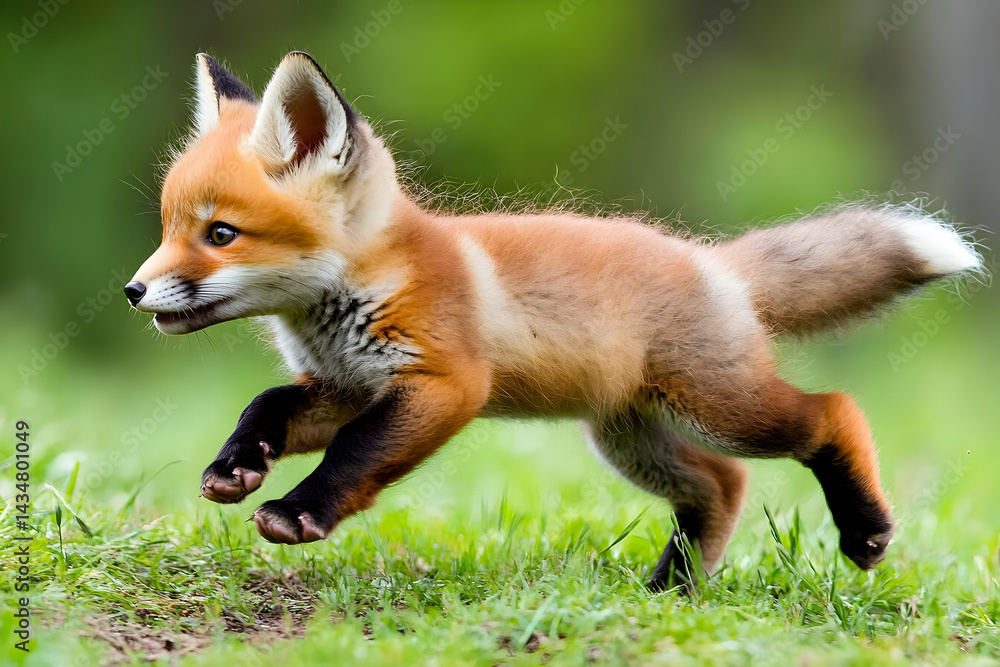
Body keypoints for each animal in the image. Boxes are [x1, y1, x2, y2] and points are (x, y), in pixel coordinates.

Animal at [125, 51, 982, 591]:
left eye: (220, 234)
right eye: (168, 227)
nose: (134, 290)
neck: (361, 289)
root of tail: (715, 262)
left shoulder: (443, 384)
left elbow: (356, 452)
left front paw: (300, 509)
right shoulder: (345, 382)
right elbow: (266, 404)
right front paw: (239, 464)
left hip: (722, 406)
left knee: (829, 413)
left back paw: (862, 530)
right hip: (628, 435)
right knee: (722, 483)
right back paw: (673, 590)